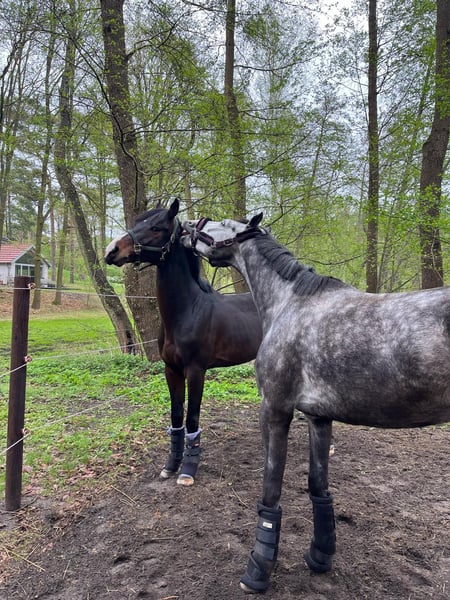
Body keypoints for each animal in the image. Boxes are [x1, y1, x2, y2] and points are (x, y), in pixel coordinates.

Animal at [104, 199, 262, 486]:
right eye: (138, 222)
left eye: (156, 227)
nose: (112, 250)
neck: (188, 311)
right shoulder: (172, 370)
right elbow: (176, 416)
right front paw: (171, 465)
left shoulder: (196, 371)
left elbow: (192, 418)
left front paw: (188, 470)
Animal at [182, 214, 450, 593]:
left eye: (220, 223)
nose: (186, 225)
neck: (291, 303)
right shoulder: (318, 418)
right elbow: (318, 488)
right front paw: (320, 555)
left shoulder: (276, 411)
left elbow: (271, 491)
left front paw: (258, 570)